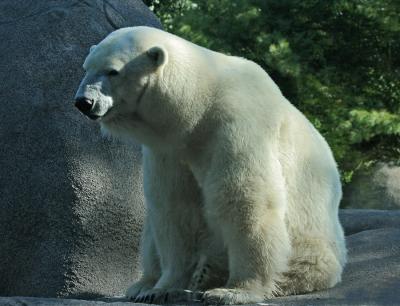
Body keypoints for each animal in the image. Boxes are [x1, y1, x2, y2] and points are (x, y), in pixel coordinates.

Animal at [74, 26, 346, 306]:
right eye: (86, 67)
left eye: (112, 71)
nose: (83, 101)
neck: (199, 106)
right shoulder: (170, 149)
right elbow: (174, 208)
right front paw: (160, 288)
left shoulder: (236, 126)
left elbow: (244, 201)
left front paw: (234, 291)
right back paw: (144, 284)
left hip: (312, 239)